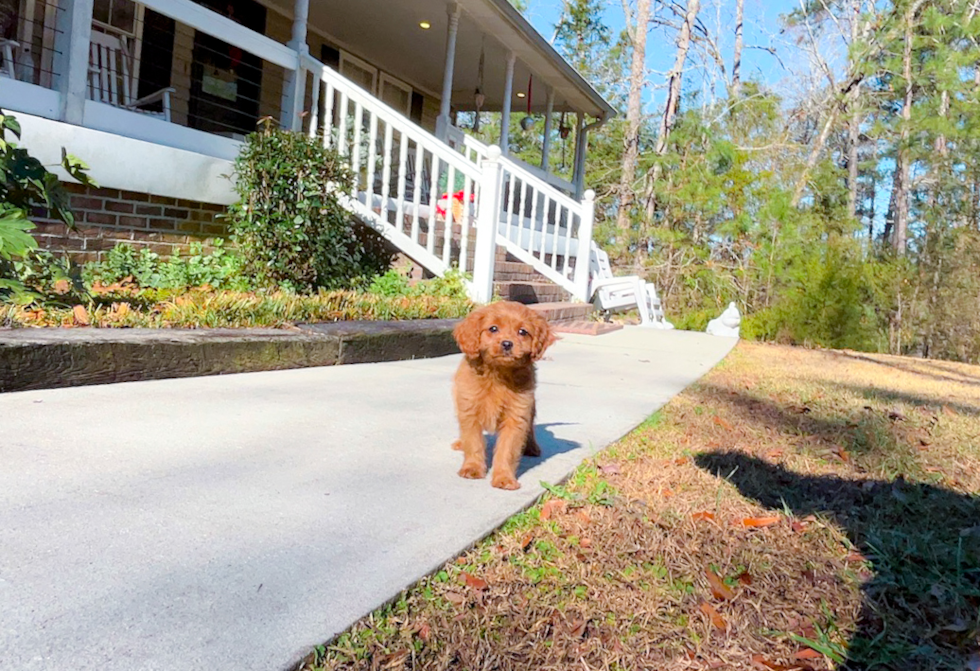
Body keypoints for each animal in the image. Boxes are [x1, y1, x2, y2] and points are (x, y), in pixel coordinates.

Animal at [454, 302, 556, 490]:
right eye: (493, 328)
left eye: (523, 332)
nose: (507, 343)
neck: (498, 374)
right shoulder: (469, 410)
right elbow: (473, 442)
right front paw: (472, 468)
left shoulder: (516, 416)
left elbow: (507, 451)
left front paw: (504, 478)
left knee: (530, 428)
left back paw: (532, 447)